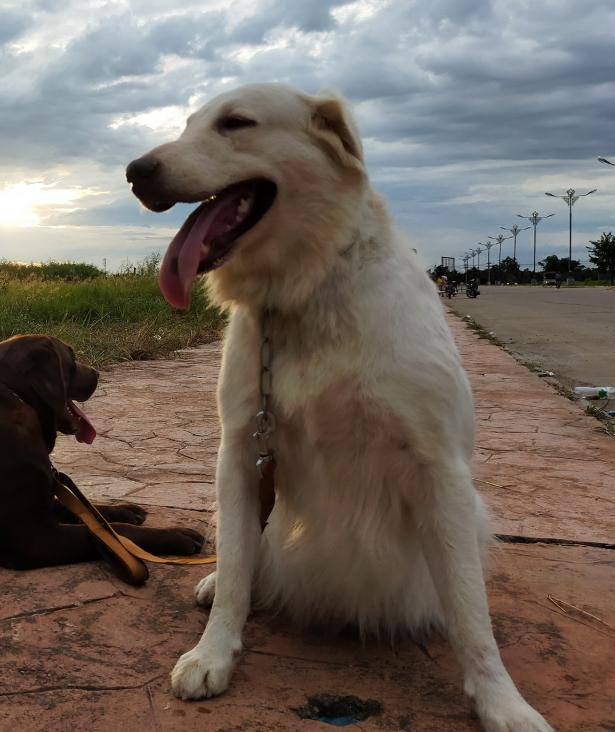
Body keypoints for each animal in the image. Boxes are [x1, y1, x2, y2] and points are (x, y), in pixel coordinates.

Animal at [0, 334, 207, 568]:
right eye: (71, 356)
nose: (96, 373)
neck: (18, 397)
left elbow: (88, 510)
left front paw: (123, 510)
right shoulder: (37, 539)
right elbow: (118, 532)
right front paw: (177, 536)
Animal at [126, 84, 552, 732]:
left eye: (235, 123)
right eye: (186, 126)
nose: (135, 172)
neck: (306, 293)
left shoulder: (439, 469)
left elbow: (471, 614)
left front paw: (502, 701)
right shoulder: (241, 451)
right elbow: (236, 574)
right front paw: (213, 652)